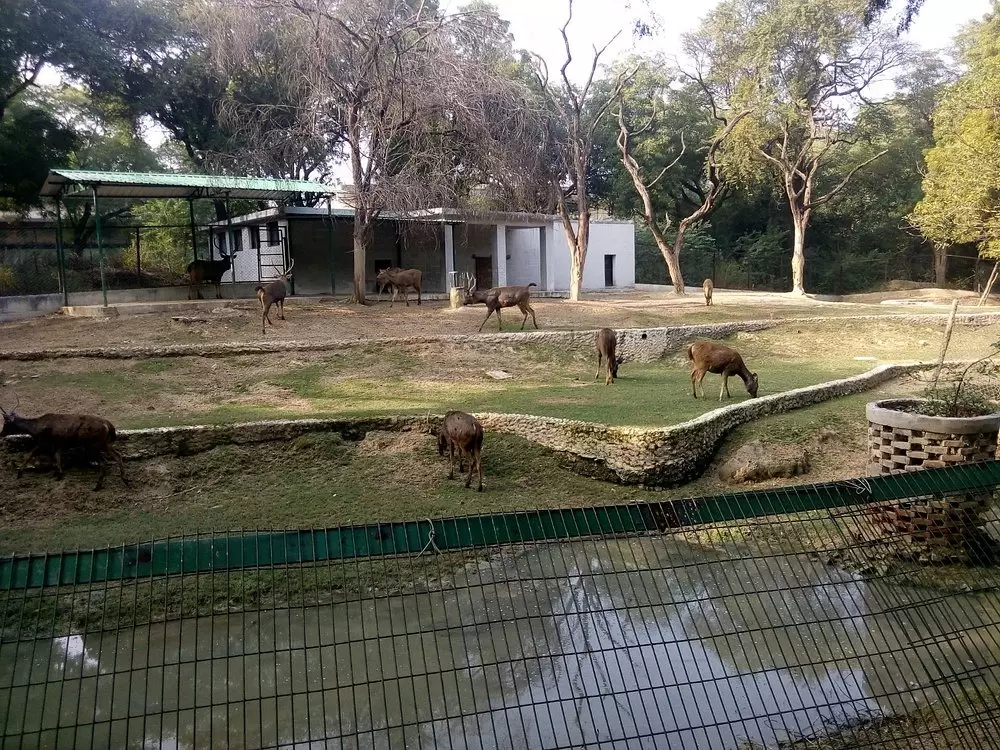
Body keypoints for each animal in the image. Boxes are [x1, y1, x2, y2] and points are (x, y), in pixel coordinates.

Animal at [1, 398, 129, 491]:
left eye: (6, 423)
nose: (1, 433)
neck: (34, 429)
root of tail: (109, 425)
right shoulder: (59, 443)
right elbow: (57, 456)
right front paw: (59, 474)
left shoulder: (44, 442)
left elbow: (30, 454)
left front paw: (19, 473)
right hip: (105, 443)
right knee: (118, 455)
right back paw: (125, 479)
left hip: (94, 445)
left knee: (104, 462)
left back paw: (97, 486)